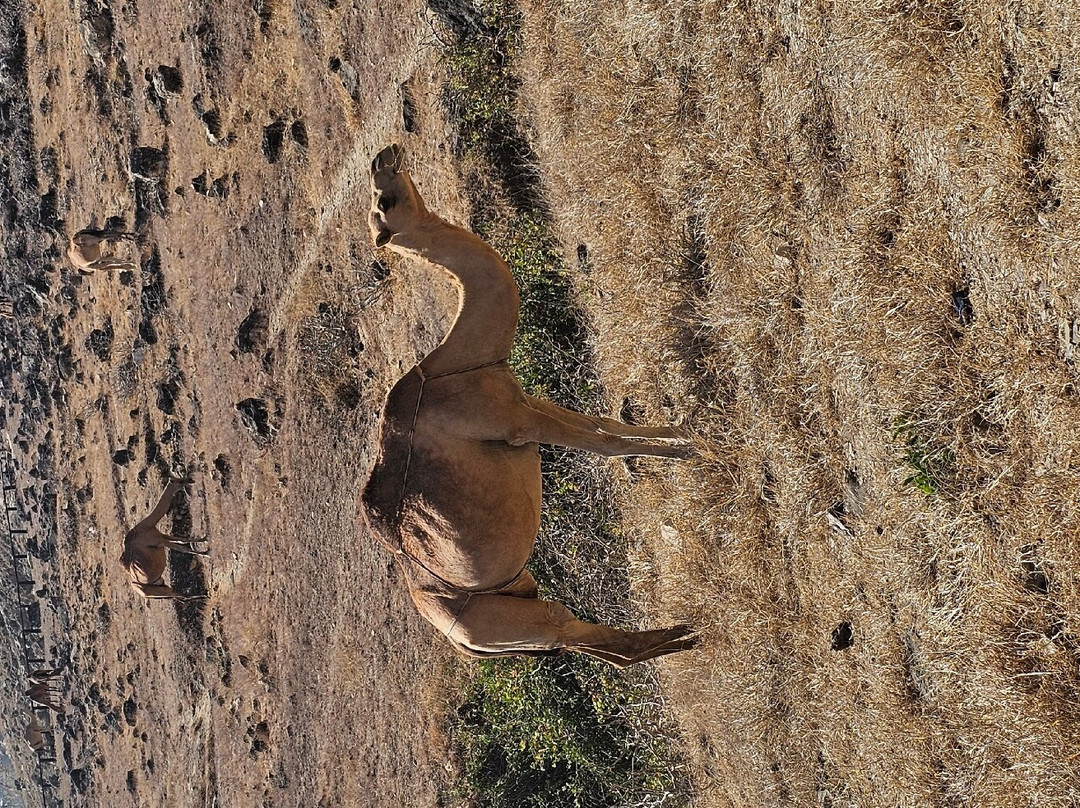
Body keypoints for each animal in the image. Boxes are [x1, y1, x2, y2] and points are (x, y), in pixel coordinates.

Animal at [362, 146, 699, 669]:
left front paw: (683, 431)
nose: (383, 155)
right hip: (501, 621)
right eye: (385, 200)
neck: (460, 364)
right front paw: (693, 450)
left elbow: (598, 423)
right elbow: (603, 442)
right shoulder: (514, 421)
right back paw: (685, 634)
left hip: (517, 593)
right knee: (568, 628)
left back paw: (681, 638)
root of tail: (458, 640)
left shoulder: (522, 399)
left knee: (587, 641)